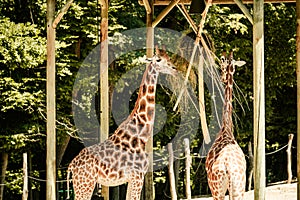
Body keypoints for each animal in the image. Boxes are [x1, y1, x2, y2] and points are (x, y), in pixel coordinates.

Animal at [67, 45, 177, 200]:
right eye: (159, 59)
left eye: (169, 58)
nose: (174, 68)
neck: (141, 136)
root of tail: (71, 166)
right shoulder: (138, 176)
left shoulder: (131, 179)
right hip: (85, 184)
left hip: (81, 185)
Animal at [205, 52, 247, 199]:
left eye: (222, 66)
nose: (222, 77)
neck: (226, 128)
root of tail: (227, 168)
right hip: (237, 188)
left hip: (218, 189)